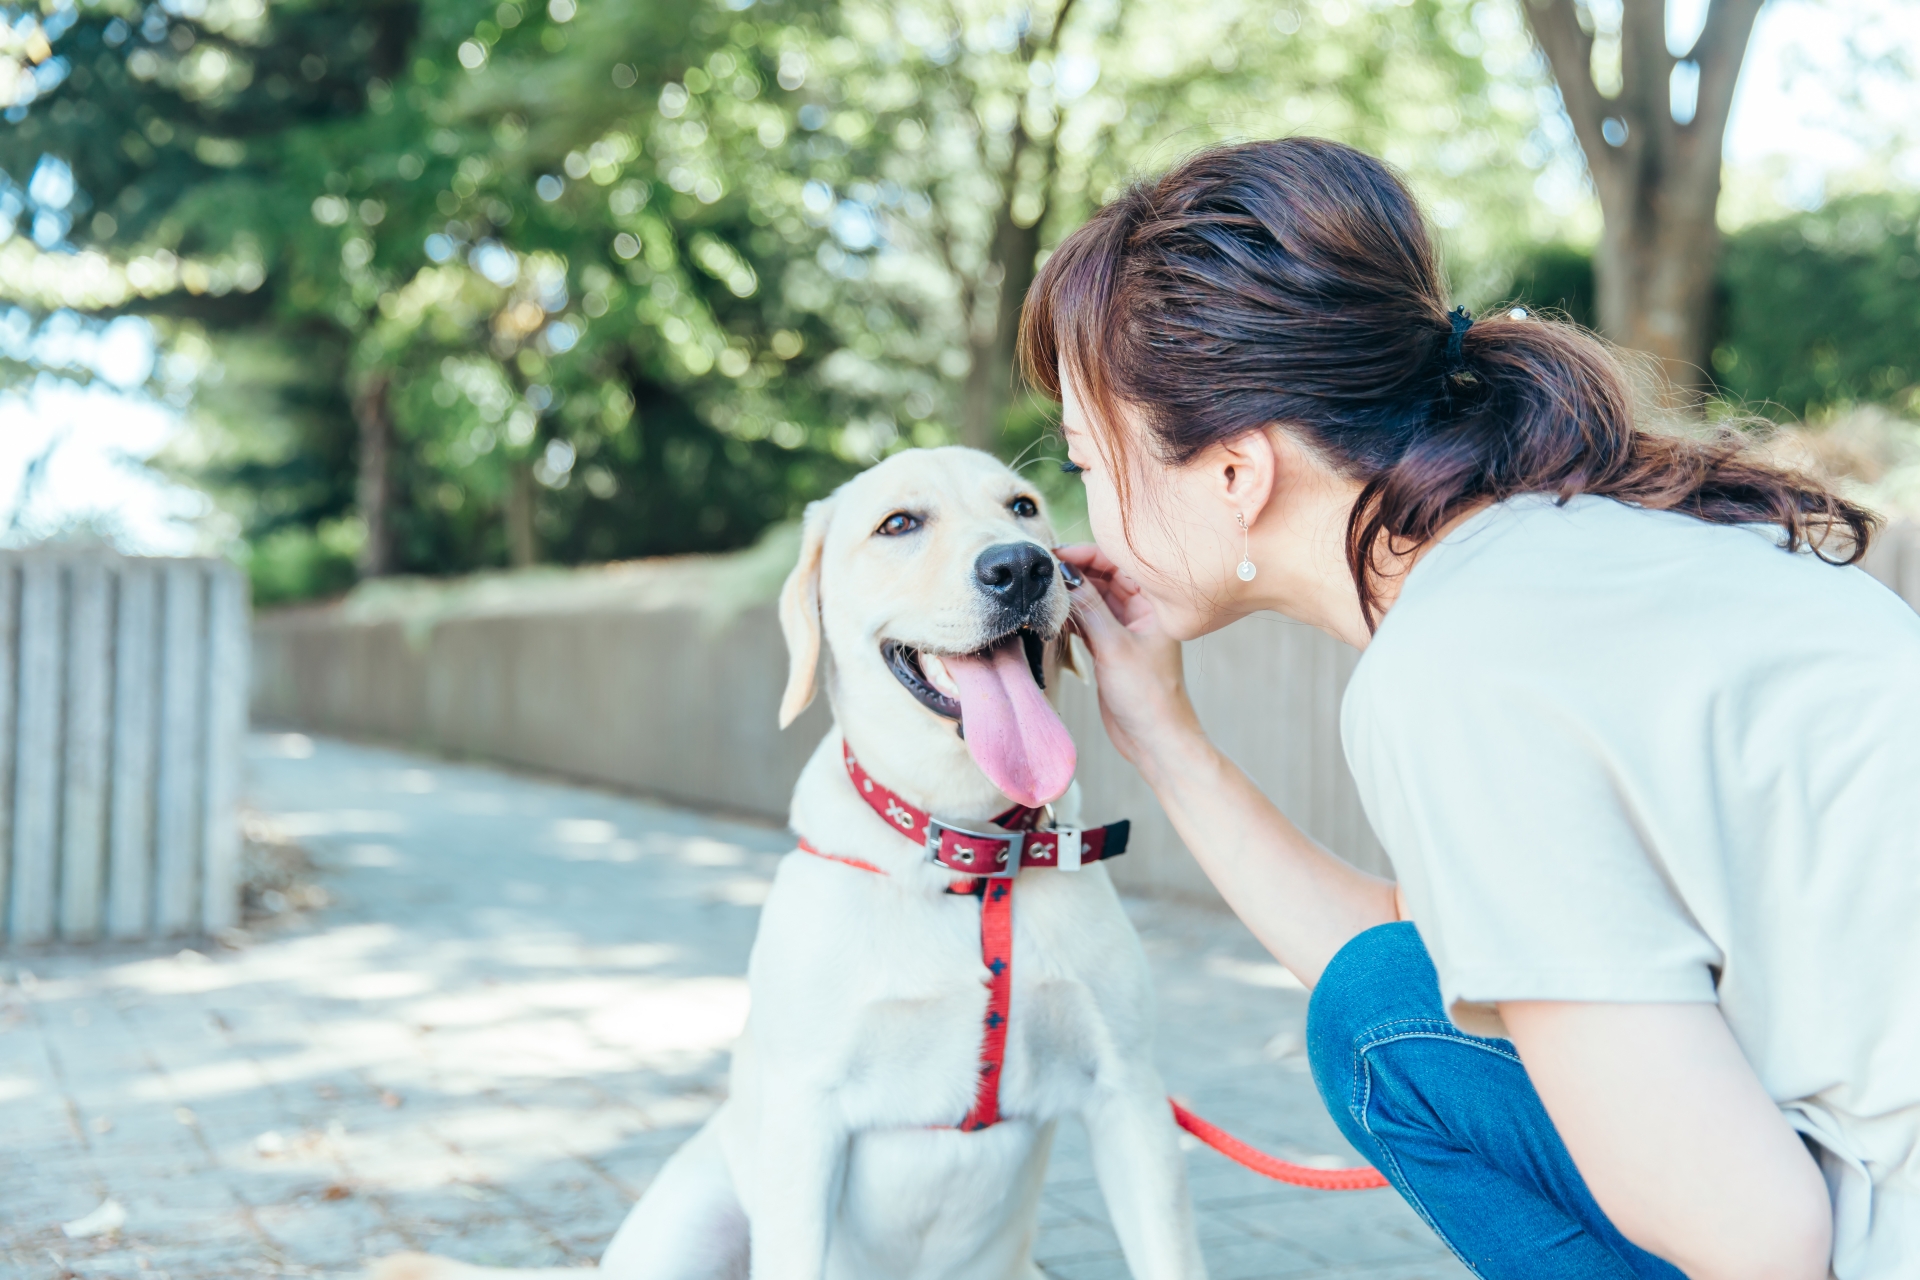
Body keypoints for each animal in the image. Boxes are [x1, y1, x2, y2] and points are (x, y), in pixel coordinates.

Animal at [376, 449, 1205, 1280]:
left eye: (1025, 507)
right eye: (899, 524)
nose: (1022, 566)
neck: (966, 859)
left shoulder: (1129, 1094)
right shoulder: (805, 1119)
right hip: (694, 1219)